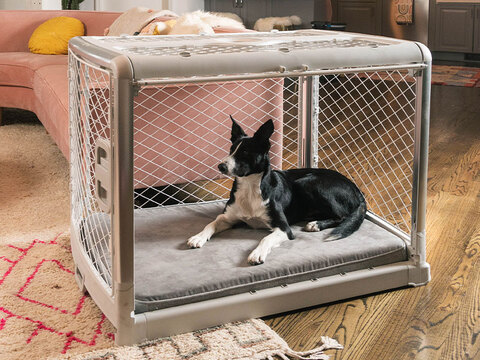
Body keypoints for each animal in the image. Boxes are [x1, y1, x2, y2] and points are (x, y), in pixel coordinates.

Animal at [188, 116, 368, 264]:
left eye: (245, 152)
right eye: (231, 150)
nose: (221, 166)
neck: (249, 187)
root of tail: (357, 190)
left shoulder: (284, 229)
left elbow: (266, 239)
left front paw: (257, 253)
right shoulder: (227, 218)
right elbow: (211, 223)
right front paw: (198, 237)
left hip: (307, 182)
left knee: (342, 216)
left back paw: (316, 224)